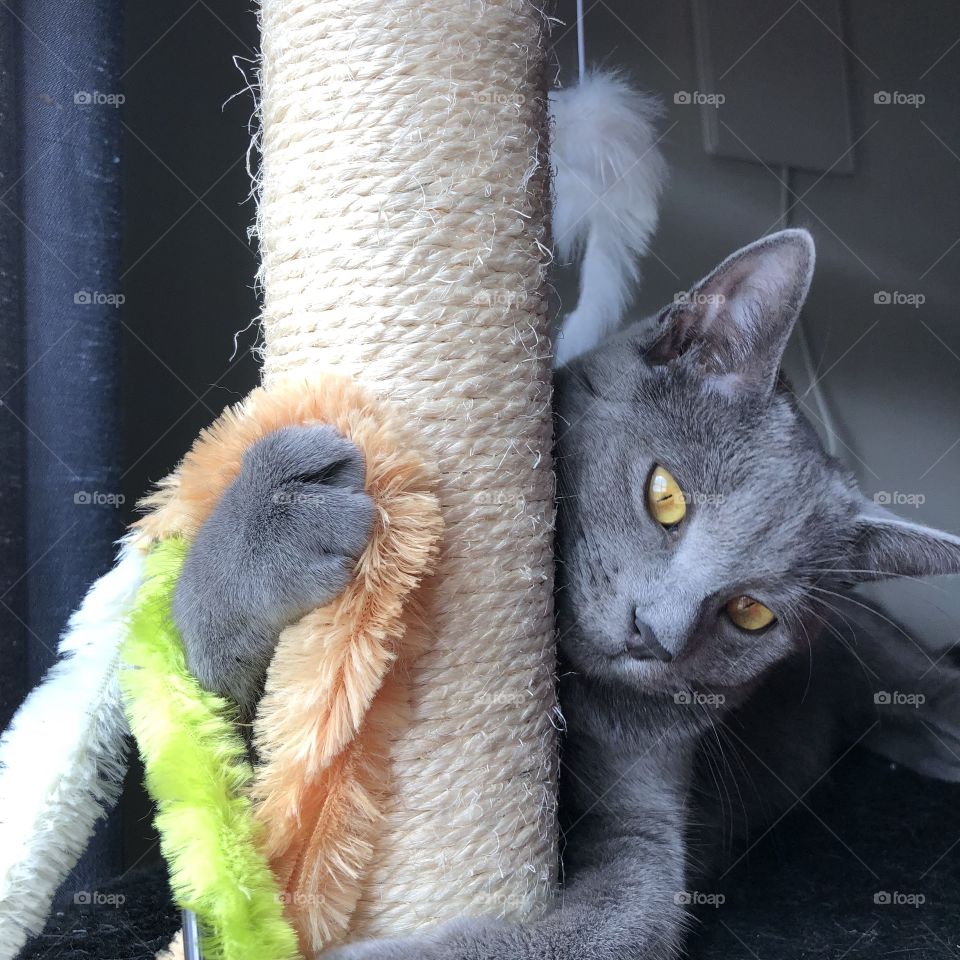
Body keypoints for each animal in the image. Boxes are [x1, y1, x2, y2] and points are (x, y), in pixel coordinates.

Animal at [172, 229, 960, 956]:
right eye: (665, 494)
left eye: (752, 613)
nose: (657, 632)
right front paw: (276, 516)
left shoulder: (645, 839)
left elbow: (601, 917)